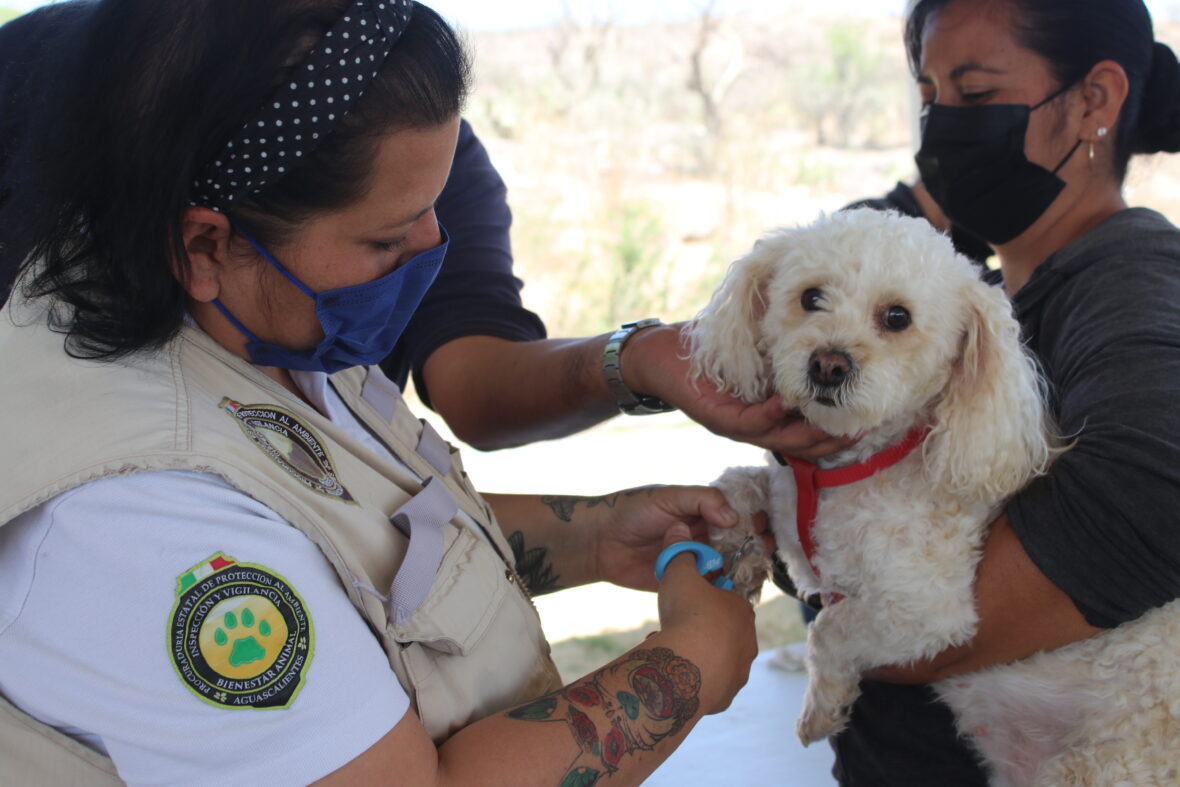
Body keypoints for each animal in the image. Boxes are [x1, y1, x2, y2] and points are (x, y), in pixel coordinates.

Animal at [689, 208, 1180, 787]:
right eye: (811, 297)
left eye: (897, 316)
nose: (828, 364)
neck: (852, 466)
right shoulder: (792, 506)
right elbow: (739, 482)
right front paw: (733, 545)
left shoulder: (927, 612)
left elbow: (830, 629)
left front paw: (822, 708)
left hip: (1096, 766)